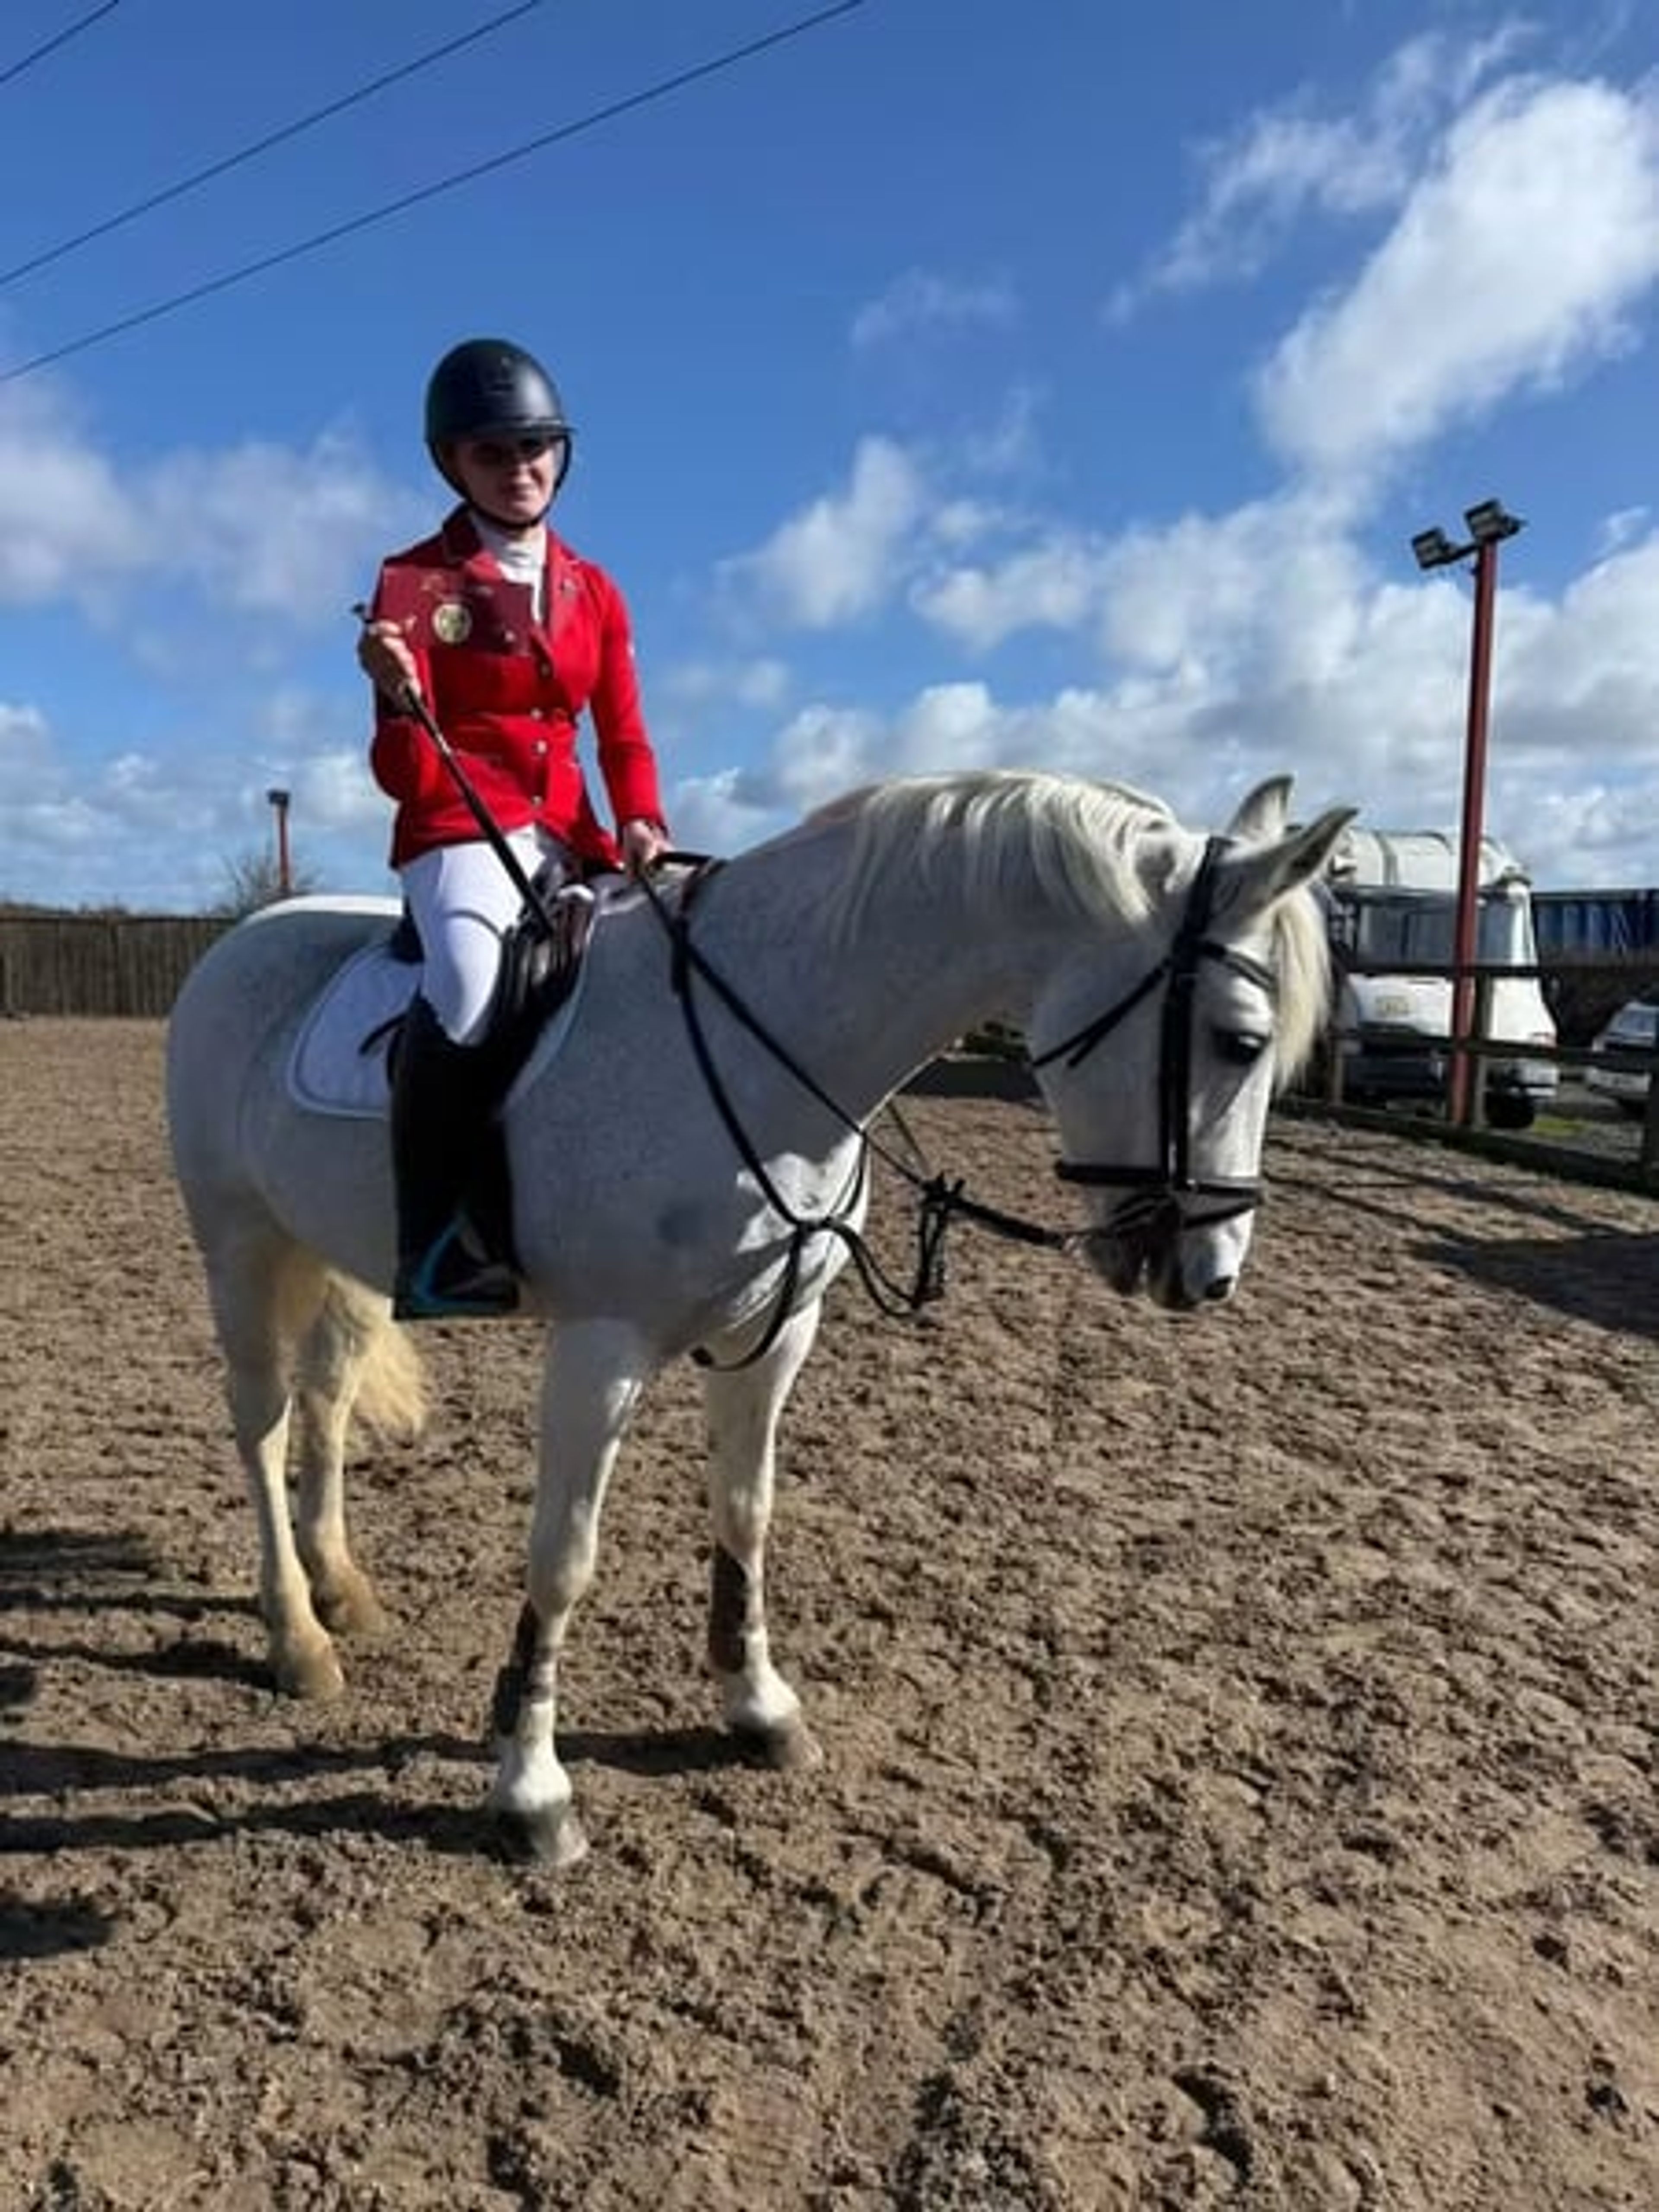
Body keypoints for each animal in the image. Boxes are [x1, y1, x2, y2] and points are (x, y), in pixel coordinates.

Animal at [166, 767, 1353, 1863]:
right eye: (1242, 1042)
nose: (1209, 1275)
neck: (769, 1046)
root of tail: (250, 936)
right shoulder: (600, 1349)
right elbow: (564, 1556)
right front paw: (532, 1788)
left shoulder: (774, 1333)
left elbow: (747, 1512)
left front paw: (757, 1705)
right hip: (239, 1245)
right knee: (263, 1423)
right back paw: (296, 1636)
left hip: (345, 1259)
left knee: (325, 1404)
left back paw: (341, 1590)